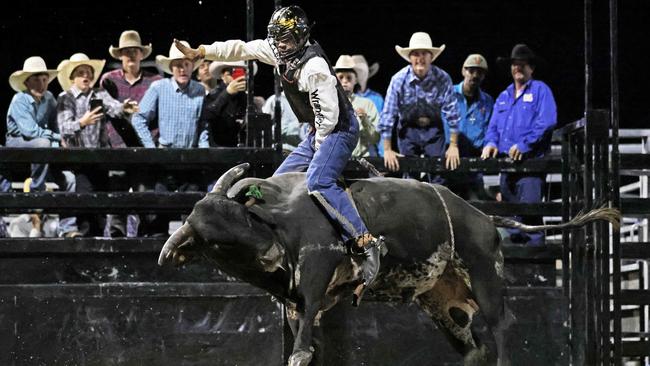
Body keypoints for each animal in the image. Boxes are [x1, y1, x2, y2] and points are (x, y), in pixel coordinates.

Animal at [156, 164, 616, 366]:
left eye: (235, 212)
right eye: (208, 237)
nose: (268, 251)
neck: (277, 221)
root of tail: (485, 217)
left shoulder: (318, 267)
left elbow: (303, 341)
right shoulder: (295, 303)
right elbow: (309, 337)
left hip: (484, 271)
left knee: (501, 325)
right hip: (444, 302)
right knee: (473, 345)